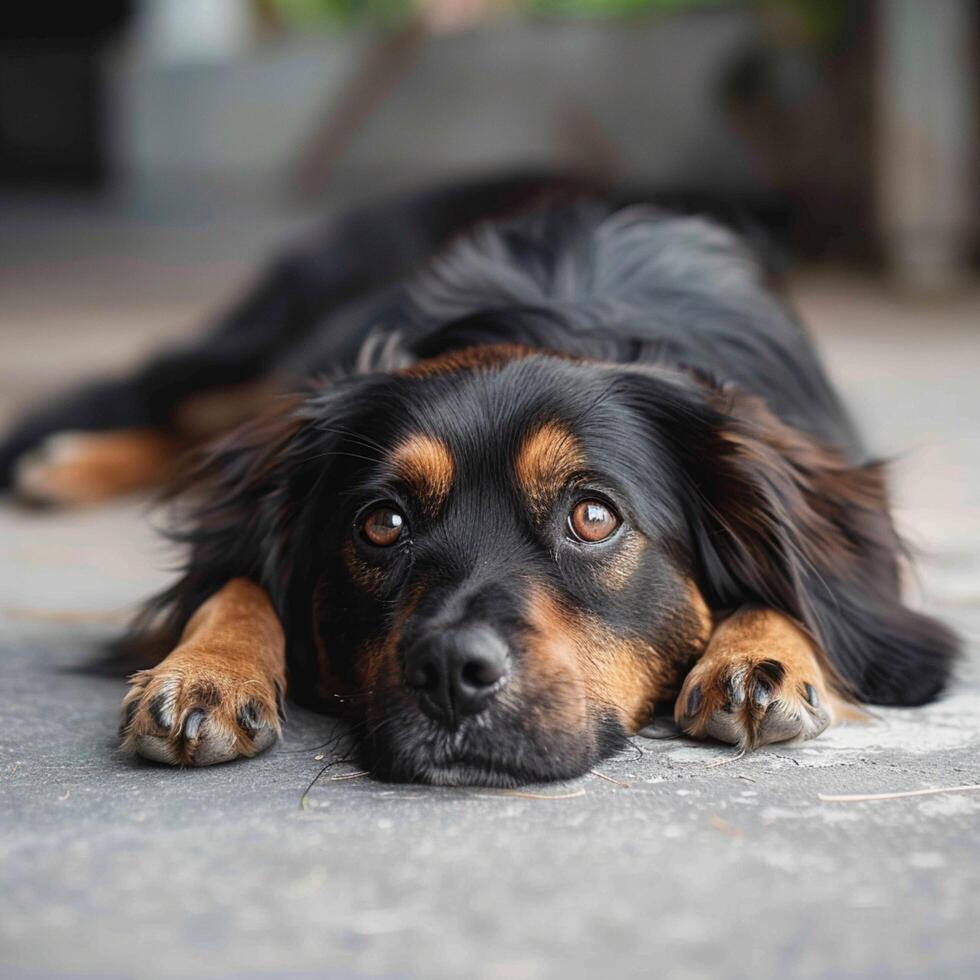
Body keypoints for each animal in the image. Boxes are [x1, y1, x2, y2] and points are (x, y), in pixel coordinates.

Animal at [1, 172, 956, 784]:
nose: (450, 672)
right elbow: (231, 575)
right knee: (177, 396)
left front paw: (759, 652)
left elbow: (810, 594)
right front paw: (206, 670)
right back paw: (69, 460)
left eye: (595, 517)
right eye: (381, 523)